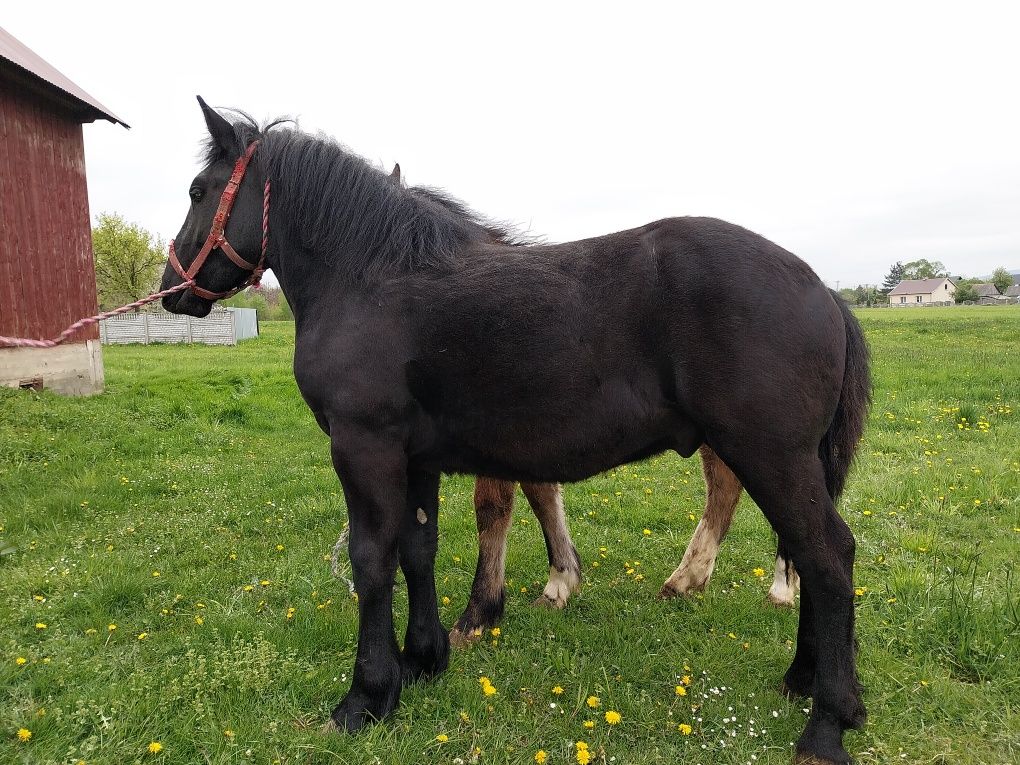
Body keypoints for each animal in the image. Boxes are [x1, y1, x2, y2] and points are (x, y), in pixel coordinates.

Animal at [163, 97, 873, 765]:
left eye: (198, 190)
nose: (172, 287)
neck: (372, 279)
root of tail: (822, 288)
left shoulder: (365, 449)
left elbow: (372, 561)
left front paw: (366, 697)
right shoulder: (416, 459)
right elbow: (417, 549)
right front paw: (423, 661)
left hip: (769, 456)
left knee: (828, 555)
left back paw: (826, 725)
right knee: (809, 553)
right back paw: (803, 679)